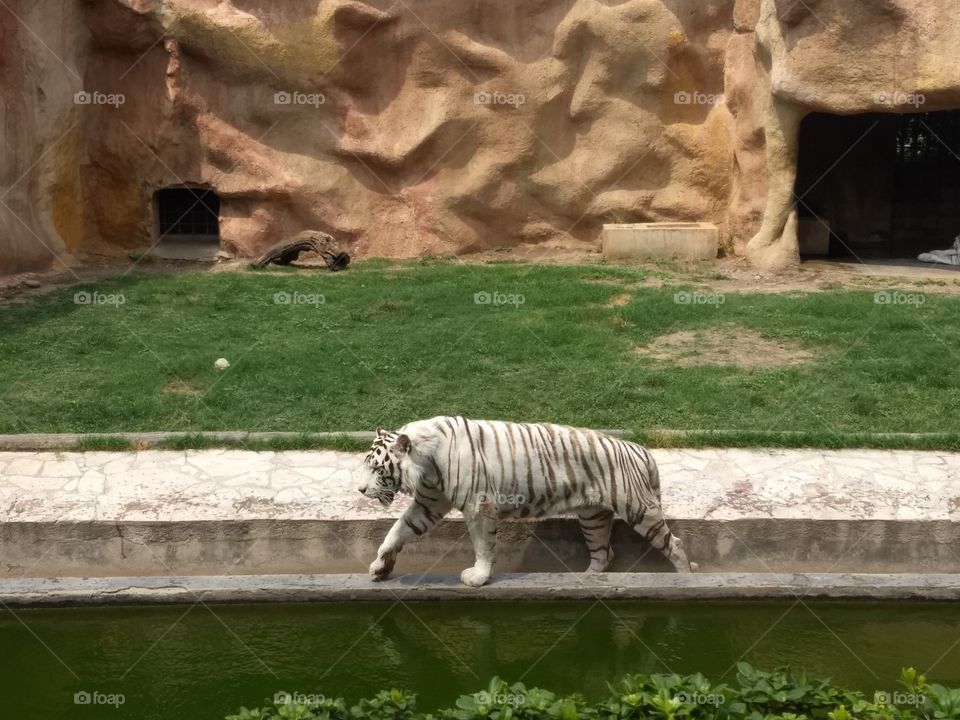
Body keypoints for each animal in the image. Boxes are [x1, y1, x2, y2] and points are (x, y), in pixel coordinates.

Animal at [358, 416, 692, 587]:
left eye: (376, 468)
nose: (360, 490)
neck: (425, 465)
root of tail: (641, 449)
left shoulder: (478, 506)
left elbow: (482, 545)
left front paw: (478, 577)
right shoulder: (429, 503)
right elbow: (398, 530)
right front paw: (380, 566)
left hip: (638, 509)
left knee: (675, 544)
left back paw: (686, 579)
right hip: (593, 517)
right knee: (603, 552)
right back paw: (584, 579)